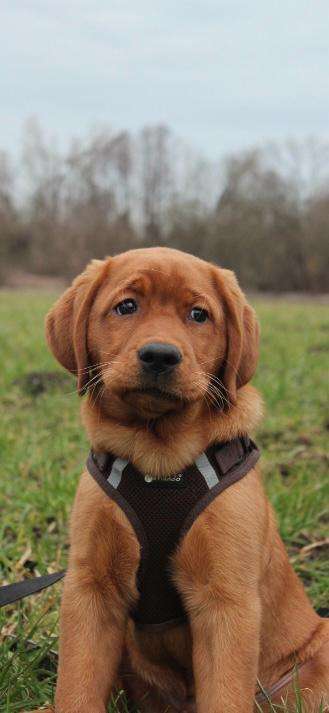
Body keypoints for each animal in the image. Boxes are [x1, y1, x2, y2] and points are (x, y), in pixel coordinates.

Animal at [36, 249, 328, 712]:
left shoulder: (226, 600)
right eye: (126, 306)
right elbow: (76, 686)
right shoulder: (90, 588)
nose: (160, 355)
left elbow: (225, 695)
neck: (158, 465)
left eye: (198, 315)